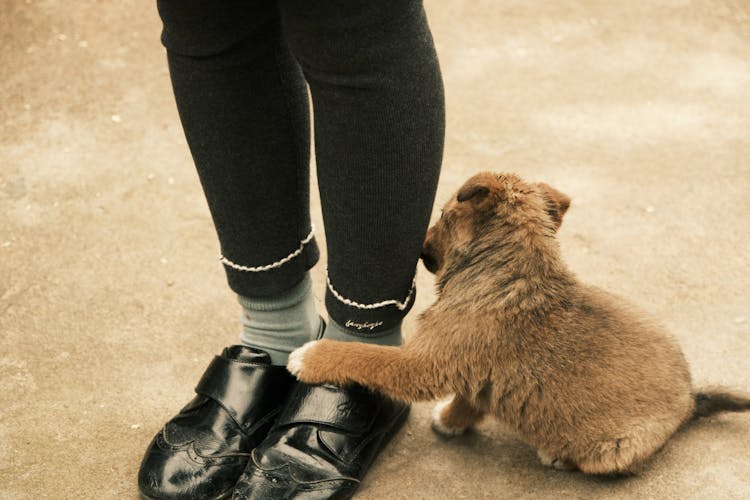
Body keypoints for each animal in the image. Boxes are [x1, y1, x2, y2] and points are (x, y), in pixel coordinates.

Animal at [288, 171, 750, 472]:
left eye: (444, 215)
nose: (421, 252)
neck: (509, 273)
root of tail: (691, 401)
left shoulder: (422, 364)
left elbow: (364, 356)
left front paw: (310, 357)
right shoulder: (468, 367)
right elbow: (469, 397)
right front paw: (452, 420)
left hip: (611, 452)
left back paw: (557, 455)